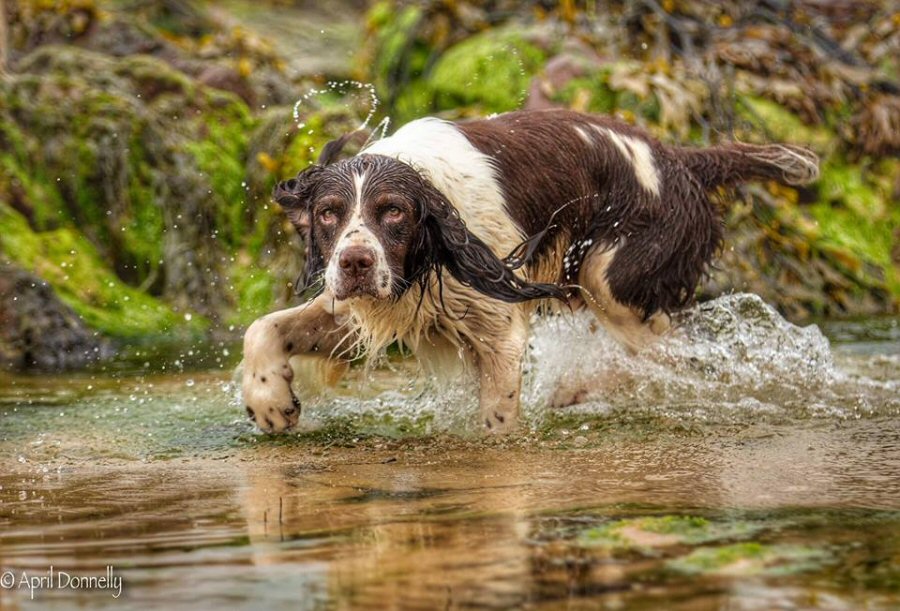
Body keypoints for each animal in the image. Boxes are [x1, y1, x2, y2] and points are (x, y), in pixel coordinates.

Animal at [243, 110, 820, 436]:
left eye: (394, 212)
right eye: (328, 213)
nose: (356, 263)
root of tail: (681, 160)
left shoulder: (498, 328)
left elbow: (497, 418)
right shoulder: (381, 301)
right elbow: (262, 328)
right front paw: (270, 403)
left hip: (614, 281)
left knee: (680, 356)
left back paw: (582, 388)